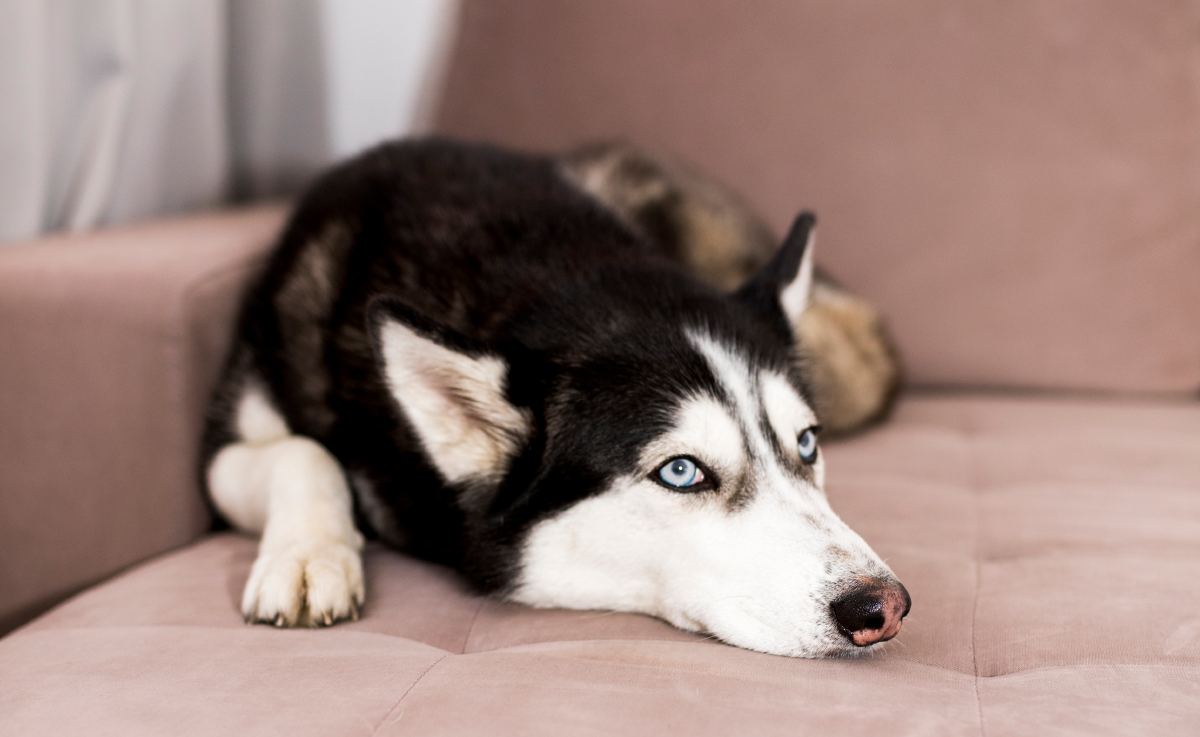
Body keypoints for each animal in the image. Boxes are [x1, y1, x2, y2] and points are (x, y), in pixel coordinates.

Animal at [201, 137, 907, 657]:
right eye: (681, 472)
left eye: (806, 443)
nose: (884, 605)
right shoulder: (227, 444)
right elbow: (302, 451)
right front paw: (307, 557)